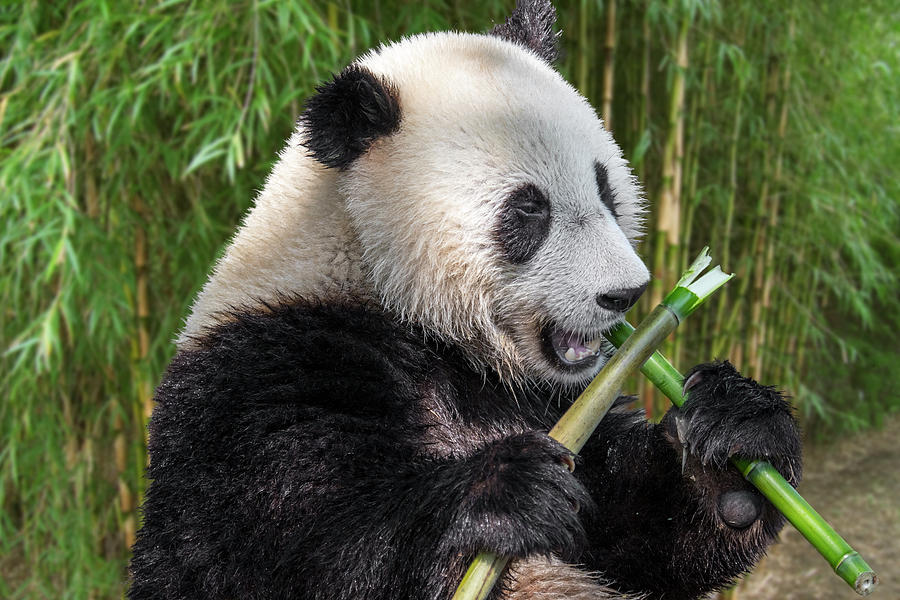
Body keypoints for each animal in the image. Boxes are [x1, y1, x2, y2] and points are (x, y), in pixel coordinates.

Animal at [126, 1, 800, 600]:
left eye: (607, 189)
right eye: (528, 211)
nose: (625, 293)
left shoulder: (553, 401)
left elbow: (639, 533)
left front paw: (734, 440)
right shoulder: (265, 370)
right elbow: (286, 551)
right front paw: (506, 491)